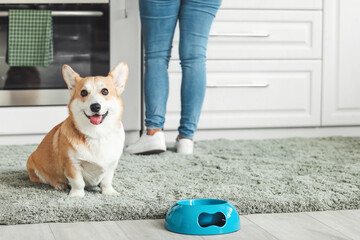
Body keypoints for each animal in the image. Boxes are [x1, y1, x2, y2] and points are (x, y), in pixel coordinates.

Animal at [26, 62, 128, 198]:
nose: (95, 106)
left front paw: (109, 192)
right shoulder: (72, 164)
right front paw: (77, 195)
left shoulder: (111, 164)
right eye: (83, 93)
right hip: (34, 166)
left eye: (105, 91)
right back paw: (59, 184)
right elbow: (78, 182)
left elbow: (107, 181)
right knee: (48, 180)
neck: (97, 134)